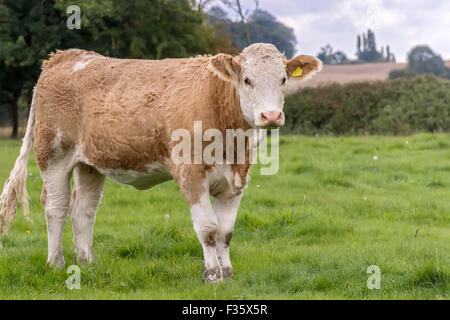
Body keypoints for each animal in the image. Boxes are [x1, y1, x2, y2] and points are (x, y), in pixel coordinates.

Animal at [0, 43, 320, 282]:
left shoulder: (236, 180)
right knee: (56, 208)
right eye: (247, 80)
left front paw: (227, 272)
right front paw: (212, 274)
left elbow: (226, 233)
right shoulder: (190, 173)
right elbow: (208, 229)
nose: (271, 116)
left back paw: (87, 262)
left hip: (90, 164)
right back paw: (55, 263)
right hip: (53, 155)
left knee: (83, 211)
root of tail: (66, 56)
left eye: (283, 80)